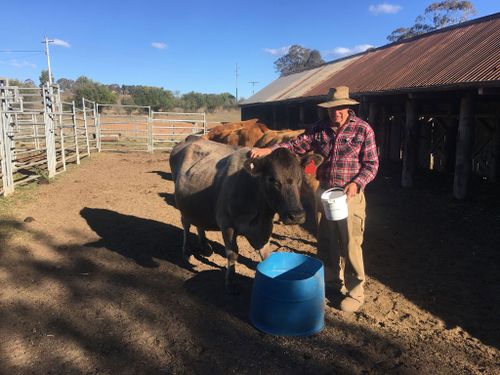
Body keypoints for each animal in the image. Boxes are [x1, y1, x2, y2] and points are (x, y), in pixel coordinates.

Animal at [170, 135, 322, 294]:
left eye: (300, 178)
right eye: (272, 179)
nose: (296, 215)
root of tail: (191, 138)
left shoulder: (264, 228)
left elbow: (266, 255)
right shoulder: (227, 224)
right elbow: (232, 253)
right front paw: (230, 281)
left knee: (199, 223)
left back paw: (204, 246)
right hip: (182, 205)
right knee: (185, 224)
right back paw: (186, 251)